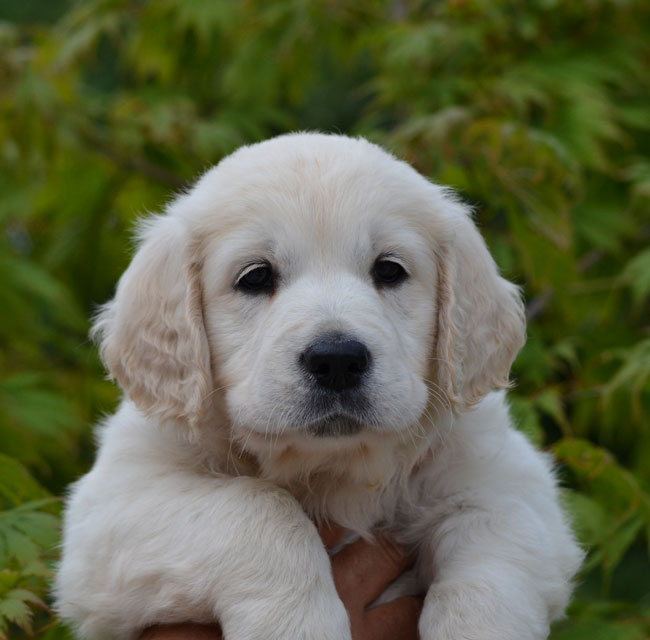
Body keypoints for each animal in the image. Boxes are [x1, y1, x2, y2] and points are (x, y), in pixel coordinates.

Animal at [55, 132, 584, 636]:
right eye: (255, 277)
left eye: (389, 269)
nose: (337, 361)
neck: (331, 470)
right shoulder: (114, 507)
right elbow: (258, 505)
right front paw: (296, 624)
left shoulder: (510, 486)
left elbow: (490, 565)